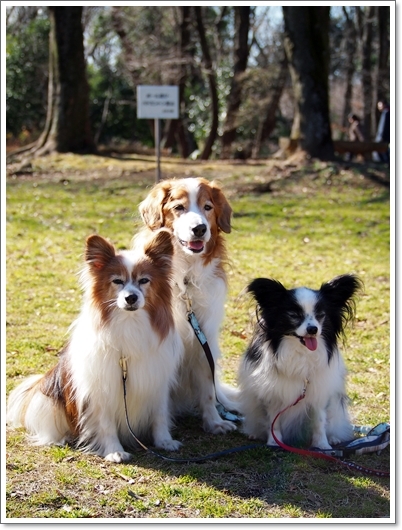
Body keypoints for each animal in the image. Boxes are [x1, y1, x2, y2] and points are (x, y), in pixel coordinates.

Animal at [7, 229, 183, 460]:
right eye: (117, 281)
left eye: (144, 280)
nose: (131, 298)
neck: (129, 323)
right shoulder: (101, 389)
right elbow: (106, 425)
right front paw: (115, 451)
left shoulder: (156, 381)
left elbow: (159, 416)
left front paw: (164, 441)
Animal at [237, 272, 362, 450]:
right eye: (294, 315)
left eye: (320, 315)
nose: (313, 329)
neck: (301, 354)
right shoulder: (273, 393)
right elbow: (273, 422)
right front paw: (274, 442)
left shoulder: (318, 393)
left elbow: (319, 421)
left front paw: (322, 445)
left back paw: (333, 438)